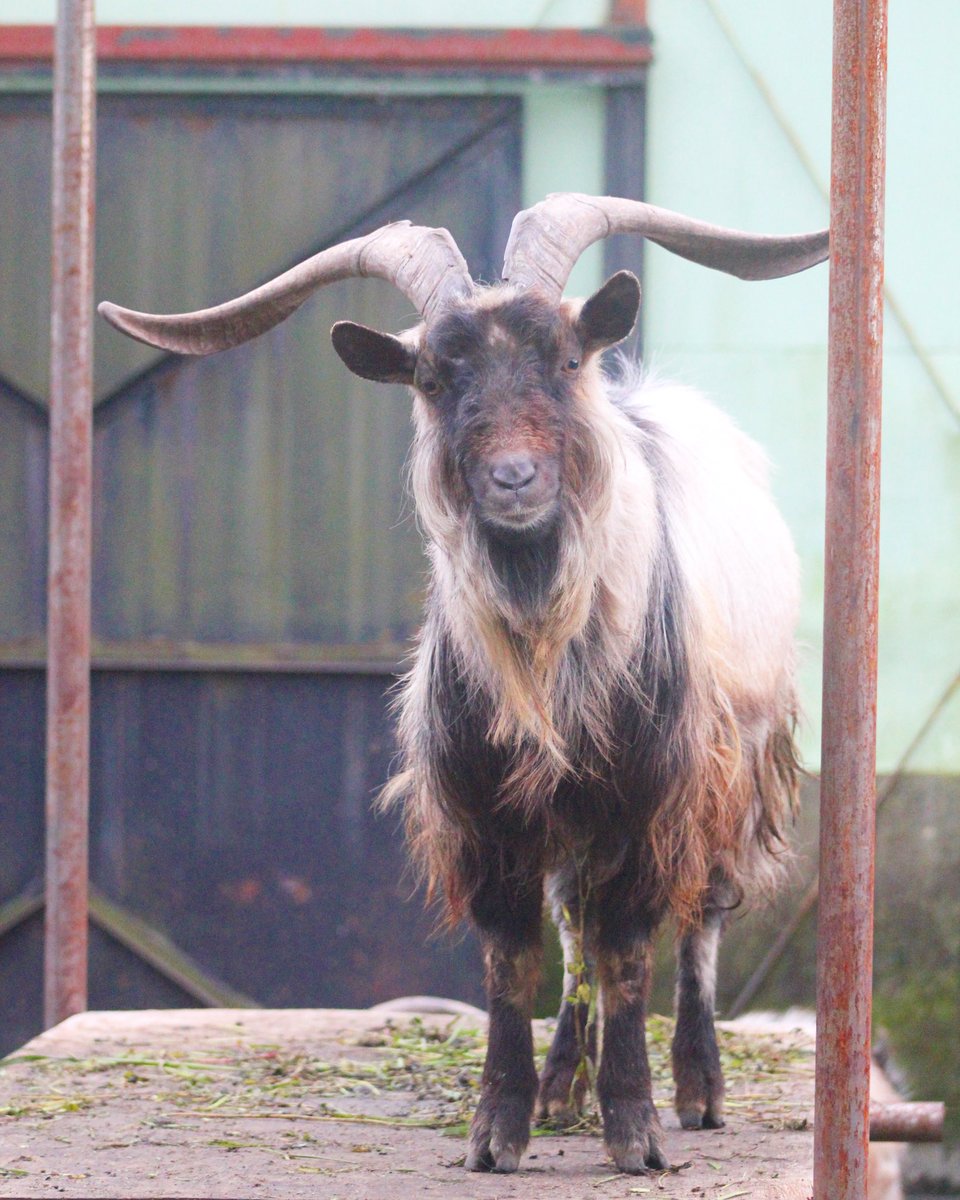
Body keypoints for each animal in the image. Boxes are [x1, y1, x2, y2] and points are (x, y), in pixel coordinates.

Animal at [101, 194, 830, 1171]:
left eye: (565, 359)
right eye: (433, 380)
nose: (513, 481)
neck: (545, 650)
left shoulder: (649, 792)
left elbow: (630, 951)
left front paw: (635, 1132)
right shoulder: (487, 809)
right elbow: (514, 960)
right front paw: (500, 1128)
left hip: (740, 762)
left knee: (701, 915)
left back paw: (699, 1090)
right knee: (573, 925)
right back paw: (564, 1086)